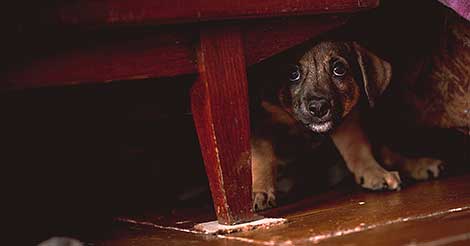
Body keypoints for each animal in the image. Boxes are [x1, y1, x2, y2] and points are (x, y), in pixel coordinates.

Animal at [252, 39, 402, 210]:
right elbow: (262, 157)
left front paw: (375, 172)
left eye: (339, 70)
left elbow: (357, 149)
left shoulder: (347, 123)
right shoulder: (261, 122)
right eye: (292, 74)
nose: (318, 108)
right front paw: (261, 191)